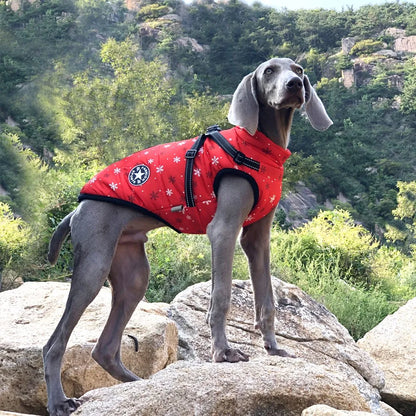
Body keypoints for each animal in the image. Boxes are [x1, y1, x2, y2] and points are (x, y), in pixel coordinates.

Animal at [44, 57, 334, 416]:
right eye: (269, 71)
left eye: (298, 70)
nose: (294, 85)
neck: (261, 148)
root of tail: (78, 209)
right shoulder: (223, 230)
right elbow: (221, 296)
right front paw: (223, 353)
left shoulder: (257, 239)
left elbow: (266, 299)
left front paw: (273, 348)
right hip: (94, 266)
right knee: (54, 344)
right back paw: (59, 402)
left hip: (133, 274)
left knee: (104, 348)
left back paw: (140, 386)